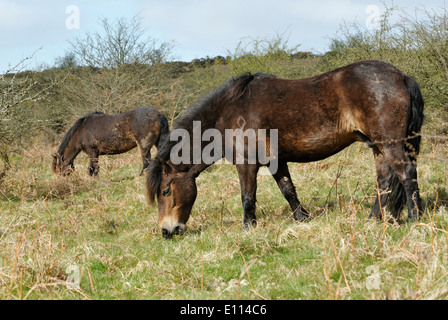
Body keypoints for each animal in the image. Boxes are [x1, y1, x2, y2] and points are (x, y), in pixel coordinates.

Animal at [146, 61, 424, 239]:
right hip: (377, 146)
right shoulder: (276, 161)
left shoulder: (246, 163)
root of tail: (401, 76)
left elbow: (247, 197)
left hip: (389, 142)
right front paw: (302, 218)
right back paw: (373, 220)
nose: (166, 231)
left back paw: (414, 217)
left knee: (406, 174)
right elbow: (288, 190)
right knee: (384, 181)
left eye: (165, 190)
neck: (229, 113)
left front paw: (248, 229)